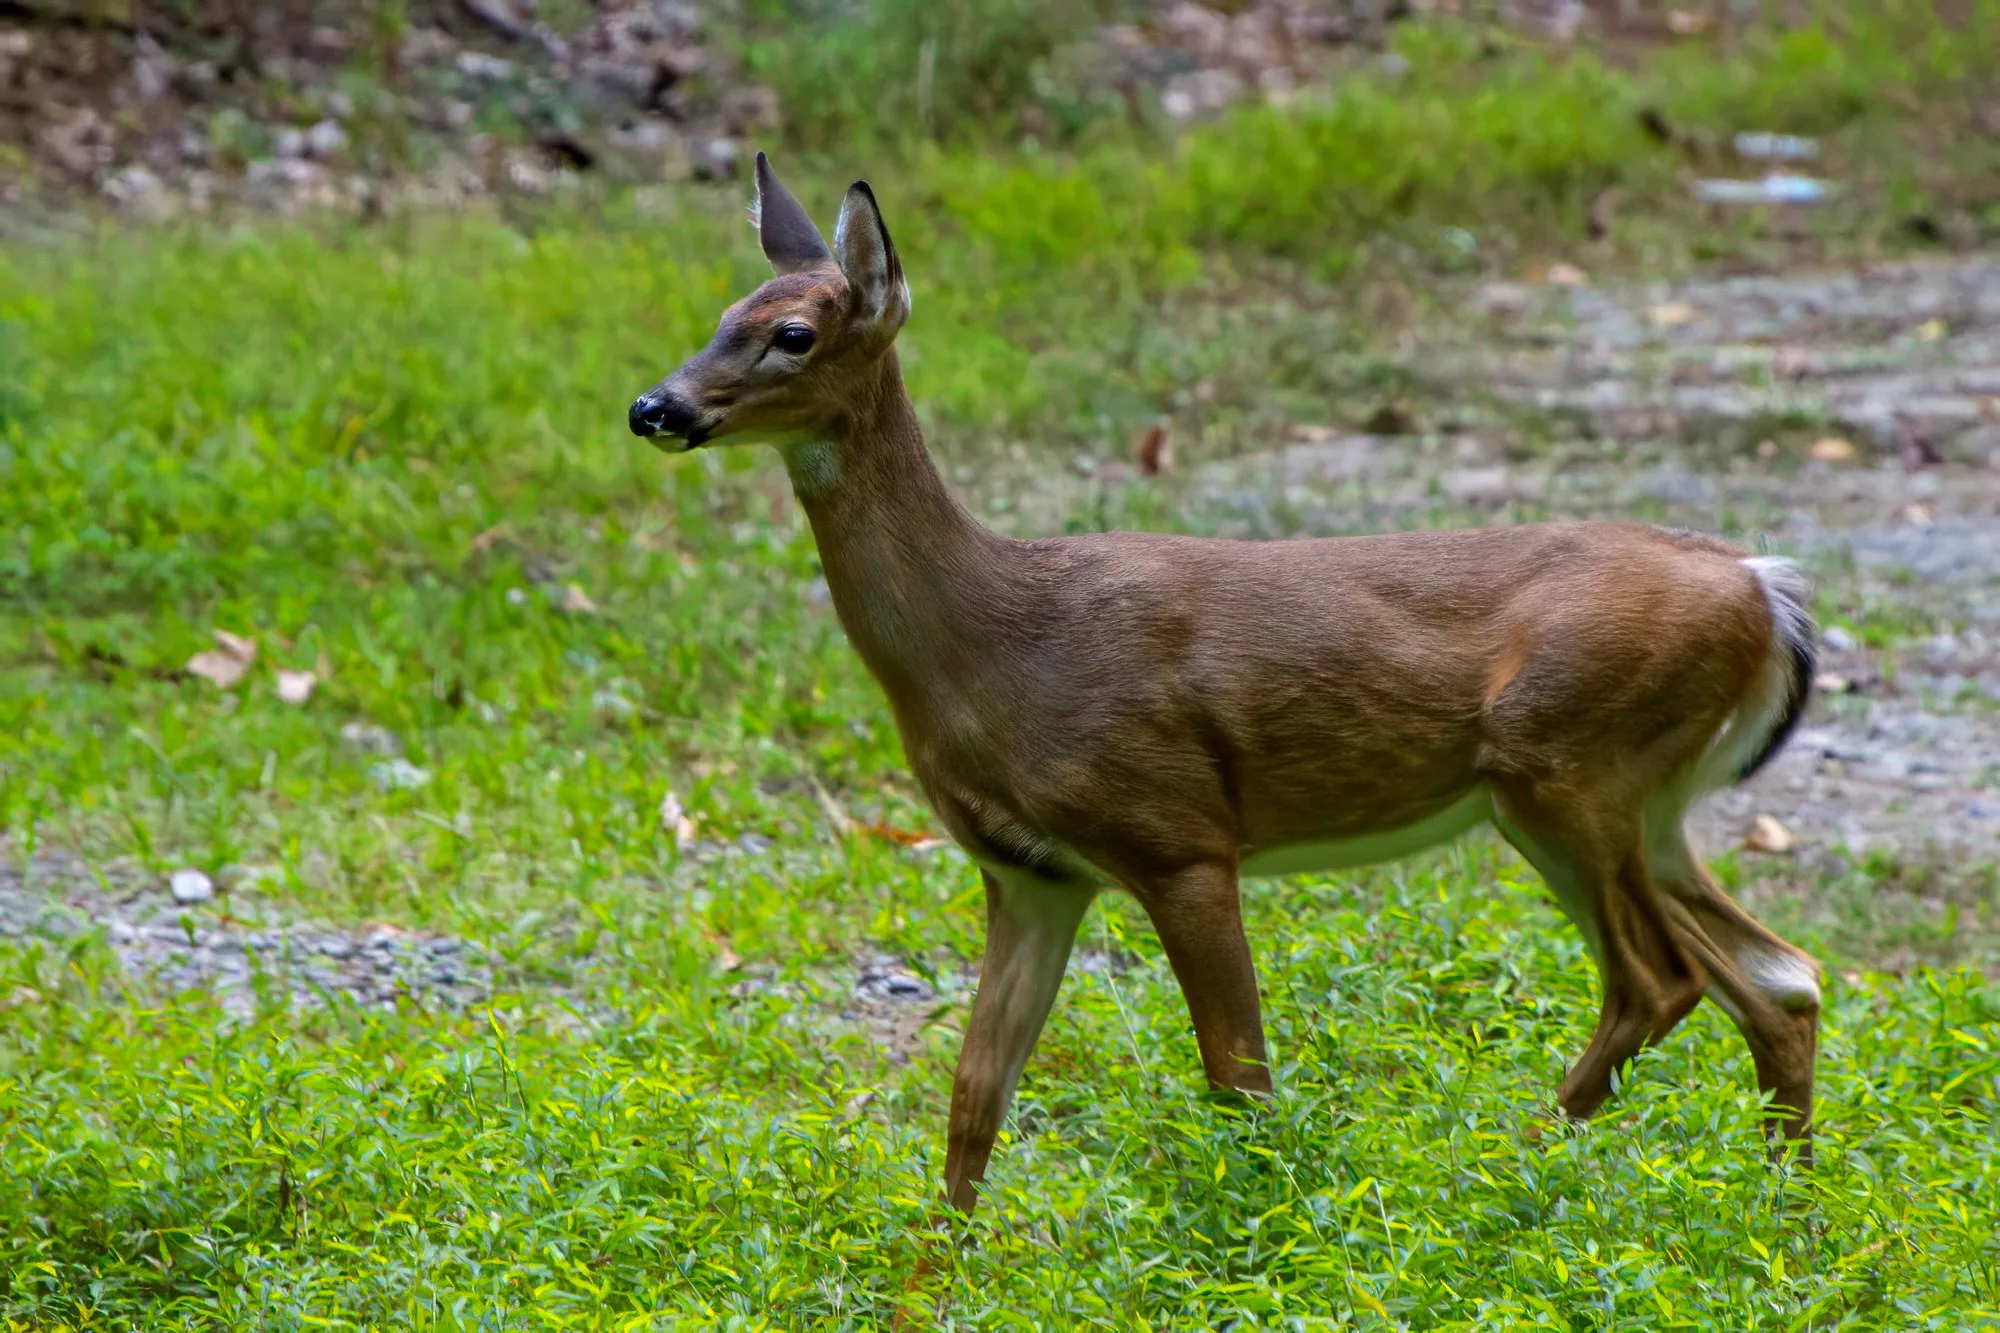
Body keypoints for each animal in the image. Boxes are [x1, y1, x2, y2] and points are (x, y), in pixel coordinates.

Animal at [628, 154, 1824, 1215]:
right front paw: (935, 1274)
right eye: (722, 312)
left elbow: (1237, 1079)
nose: (655, 406)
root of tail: (1763, 588)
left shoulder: (1178, 834)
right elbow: (974, 1097)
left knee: (1660, 979)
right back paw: (1787, 1213)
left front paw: (1262, 1235)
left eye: (793, 333)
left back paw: (1495, 1175)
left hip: (1567, 765)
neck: (994, 641)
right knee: (1780, 976)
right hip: (1640, 803)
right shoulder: (1030, 872)